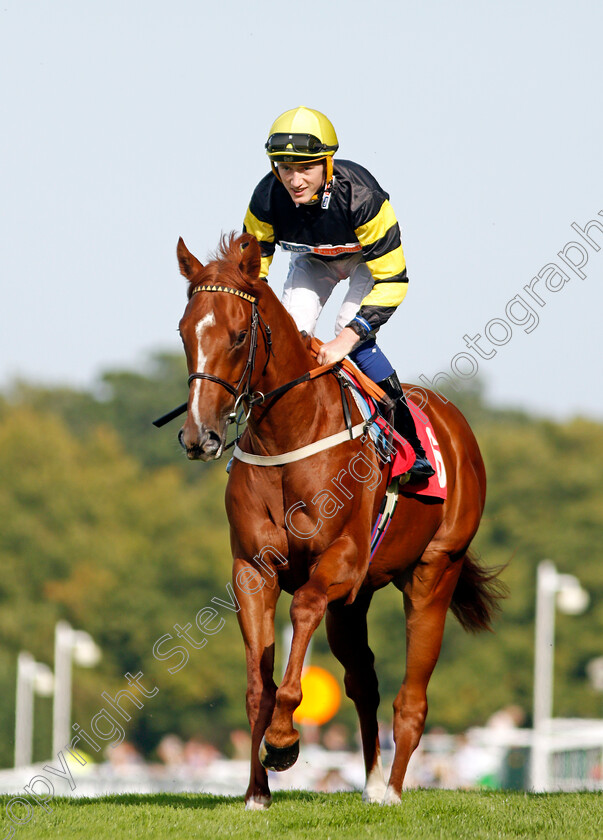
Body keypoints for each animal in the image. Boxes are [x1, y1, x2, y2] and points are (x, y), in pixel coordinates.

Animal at [173, 230, 504, 808]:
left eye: (239, 336)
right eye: (184, 331)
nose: (199, 436)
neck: (288, 434)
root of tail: (453, 420)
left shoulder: (341, 561)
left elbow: (302, 609)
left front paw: (284, 741)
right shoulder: (253, 570)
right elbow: (257, 684)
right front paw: (257, 790)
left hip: (434, 572)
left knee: (411, 697)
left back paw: (391, 790)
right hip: (355, 602)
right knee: (364, 683)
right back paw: (370, 781)